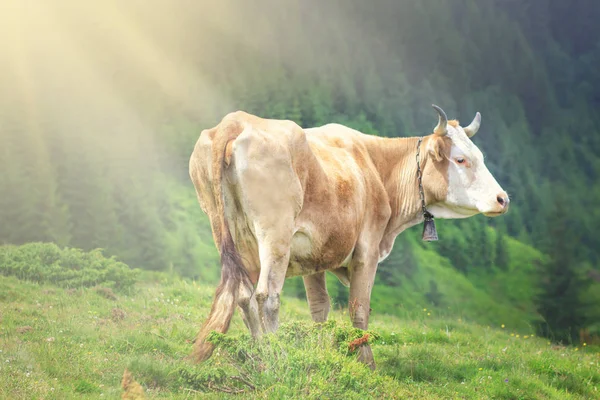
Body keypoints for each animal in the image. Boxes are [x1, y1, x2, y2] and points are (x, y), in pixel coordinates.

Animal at [190, 105, 508, 368]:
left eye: (480, 157)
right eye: (461, 159)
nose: (502, 198)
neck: (377, 168)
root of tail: (236, 121)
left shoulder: (312, 255)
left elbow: (319, 307)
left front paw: (319, 353)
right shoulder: (367, 250)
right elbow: (359, 308)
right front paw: (366, 362)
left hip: (232, 236)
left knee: (242, 294)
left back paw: (258, 354)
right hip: (274, 234)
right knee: (266, 296)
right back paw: (274, 356)